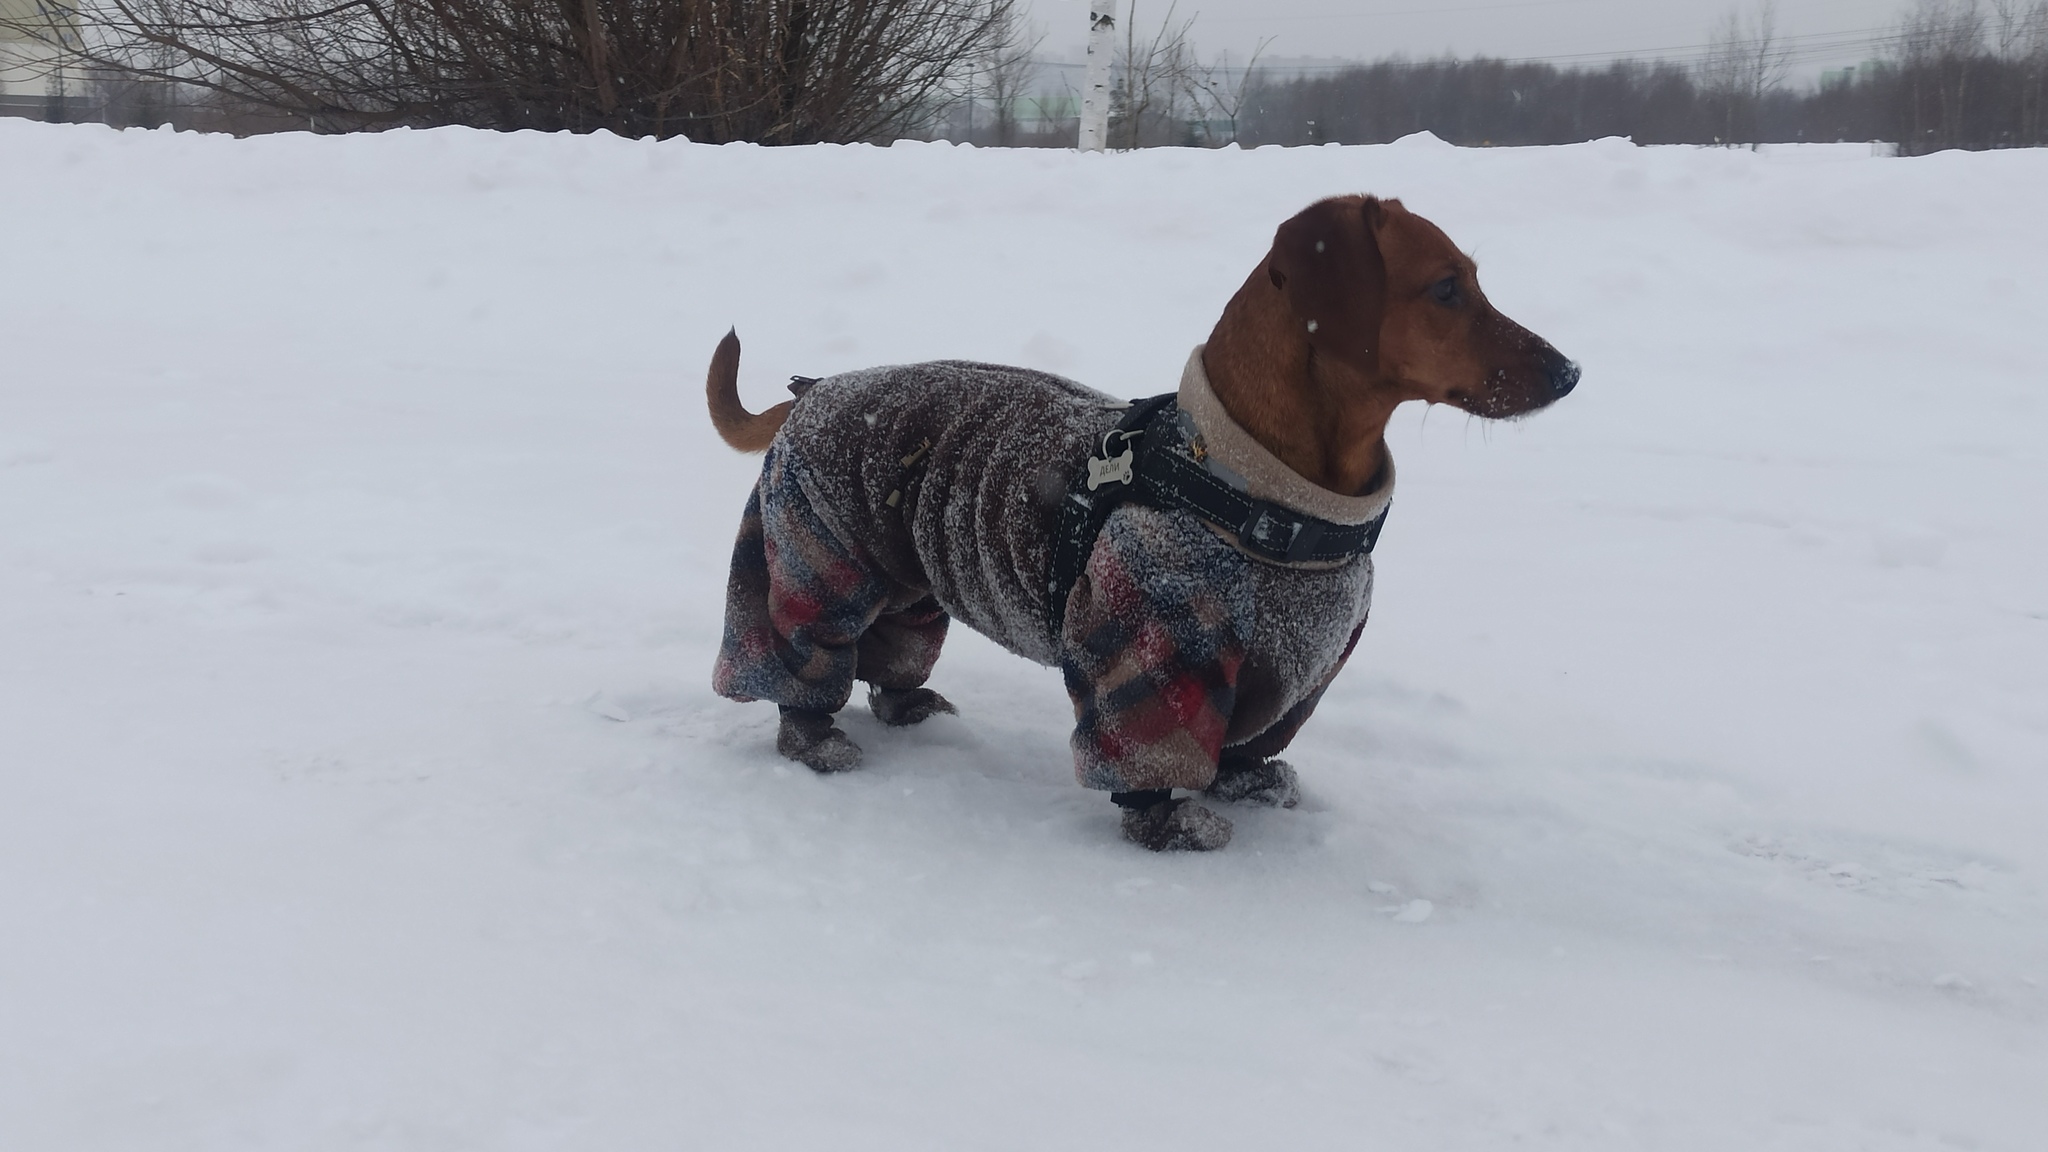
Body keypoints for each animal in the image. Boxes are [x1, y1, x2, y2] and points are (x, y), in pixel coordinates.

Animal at [700, 196, 1564, 848]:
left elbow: (1249, 744)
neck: (1277, 501)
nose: (1571, 371)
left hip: (908, 577)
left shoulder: (1303, 670)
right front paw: (1168, 827)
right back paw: (814, 737)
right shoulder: (1154, 658)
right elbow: (1149, 766)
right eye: (1446, 289)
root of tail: (816, 389)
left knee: (892, 649)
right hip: (813, 555)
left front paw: (1249, 781)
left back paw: (905, 702)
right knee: (802, 657)